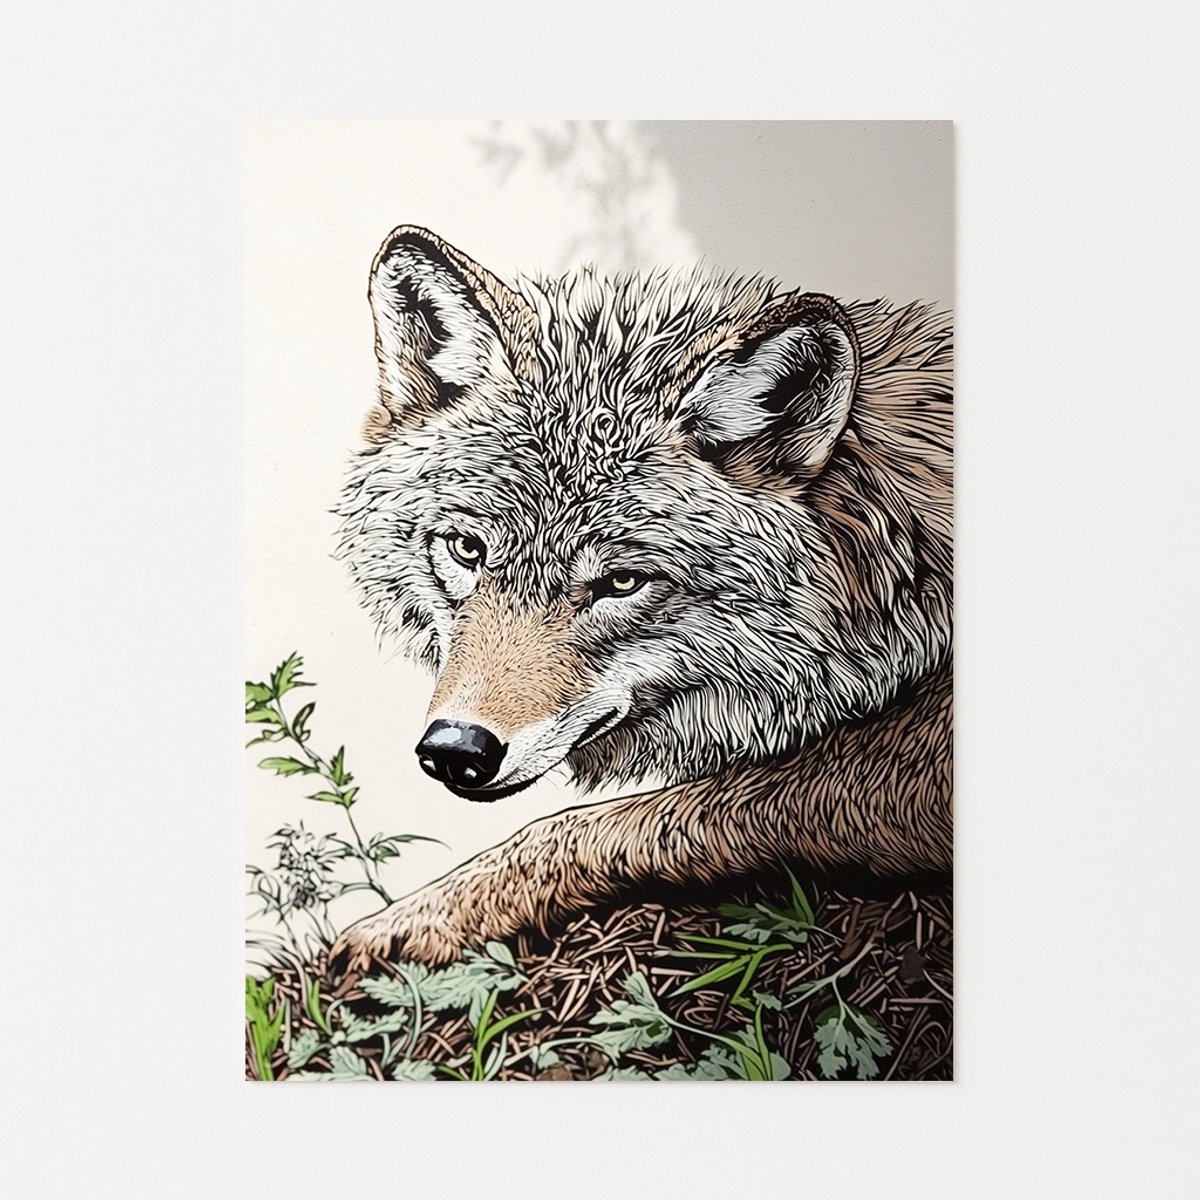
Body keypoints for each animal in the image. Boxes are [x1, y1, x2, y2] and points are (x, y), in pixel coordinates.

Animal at [330, 225, 952, 972]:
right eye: (467, 549)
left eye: (621, 582)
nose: (456, 749)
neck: (911, 554)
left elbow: (584, 826)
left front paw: (413, 918)